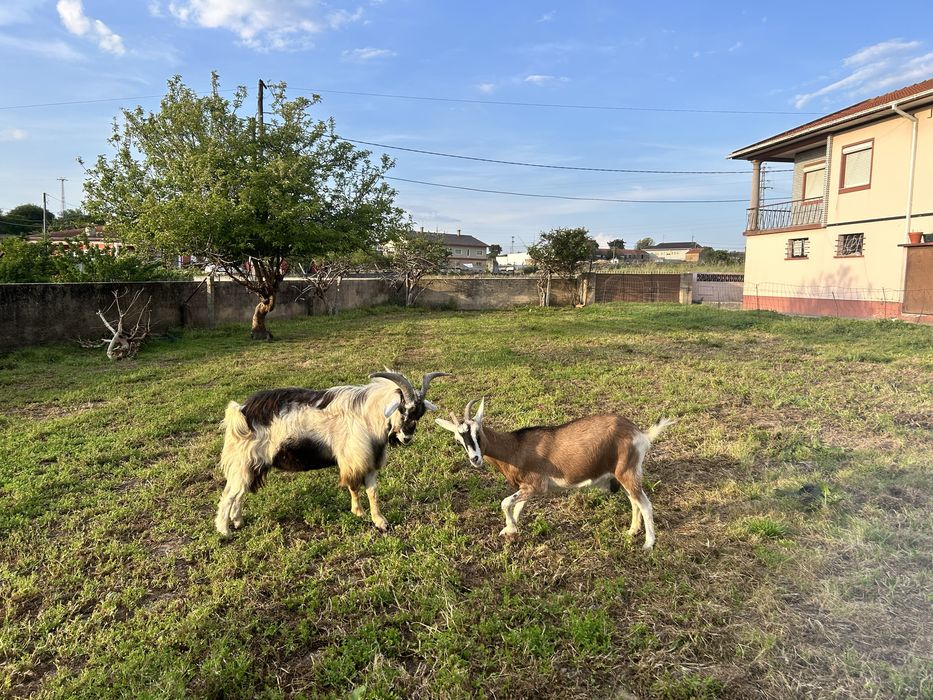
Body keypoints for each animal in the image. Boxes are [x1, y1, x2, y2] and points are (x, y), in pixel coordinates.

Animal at [214, 370, 450, 536]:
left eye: (420, 414)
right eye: (402, 409)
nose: (407, 437)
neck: (366, 416)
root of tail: (241, 412)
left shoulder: (369, 460)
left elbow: (372, 491)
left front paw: (380, 521)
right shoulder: (353, 458)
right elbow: (353, 486)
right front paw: (358, 512)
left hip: (250, 466)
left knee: (239, 494)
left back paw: (238, 521)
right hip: (243, 462)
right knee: (229, 495)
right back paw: (224, 530)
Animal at [436, 399, 675, 549]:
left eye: (477, 432)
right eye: (458, 439)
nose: (475, 459)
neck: (516, 446)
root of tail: (640, 434)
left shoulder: (535, 485)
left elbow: (505, 503)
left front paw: (509, 528)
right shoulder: (528, 488)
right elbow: (517, 506)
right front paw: (510, 530)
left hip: (627, 473)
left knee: (645, 504)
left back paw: (648, 544)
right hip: (623, 476)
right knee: (635, 502)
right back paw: (632, 531)